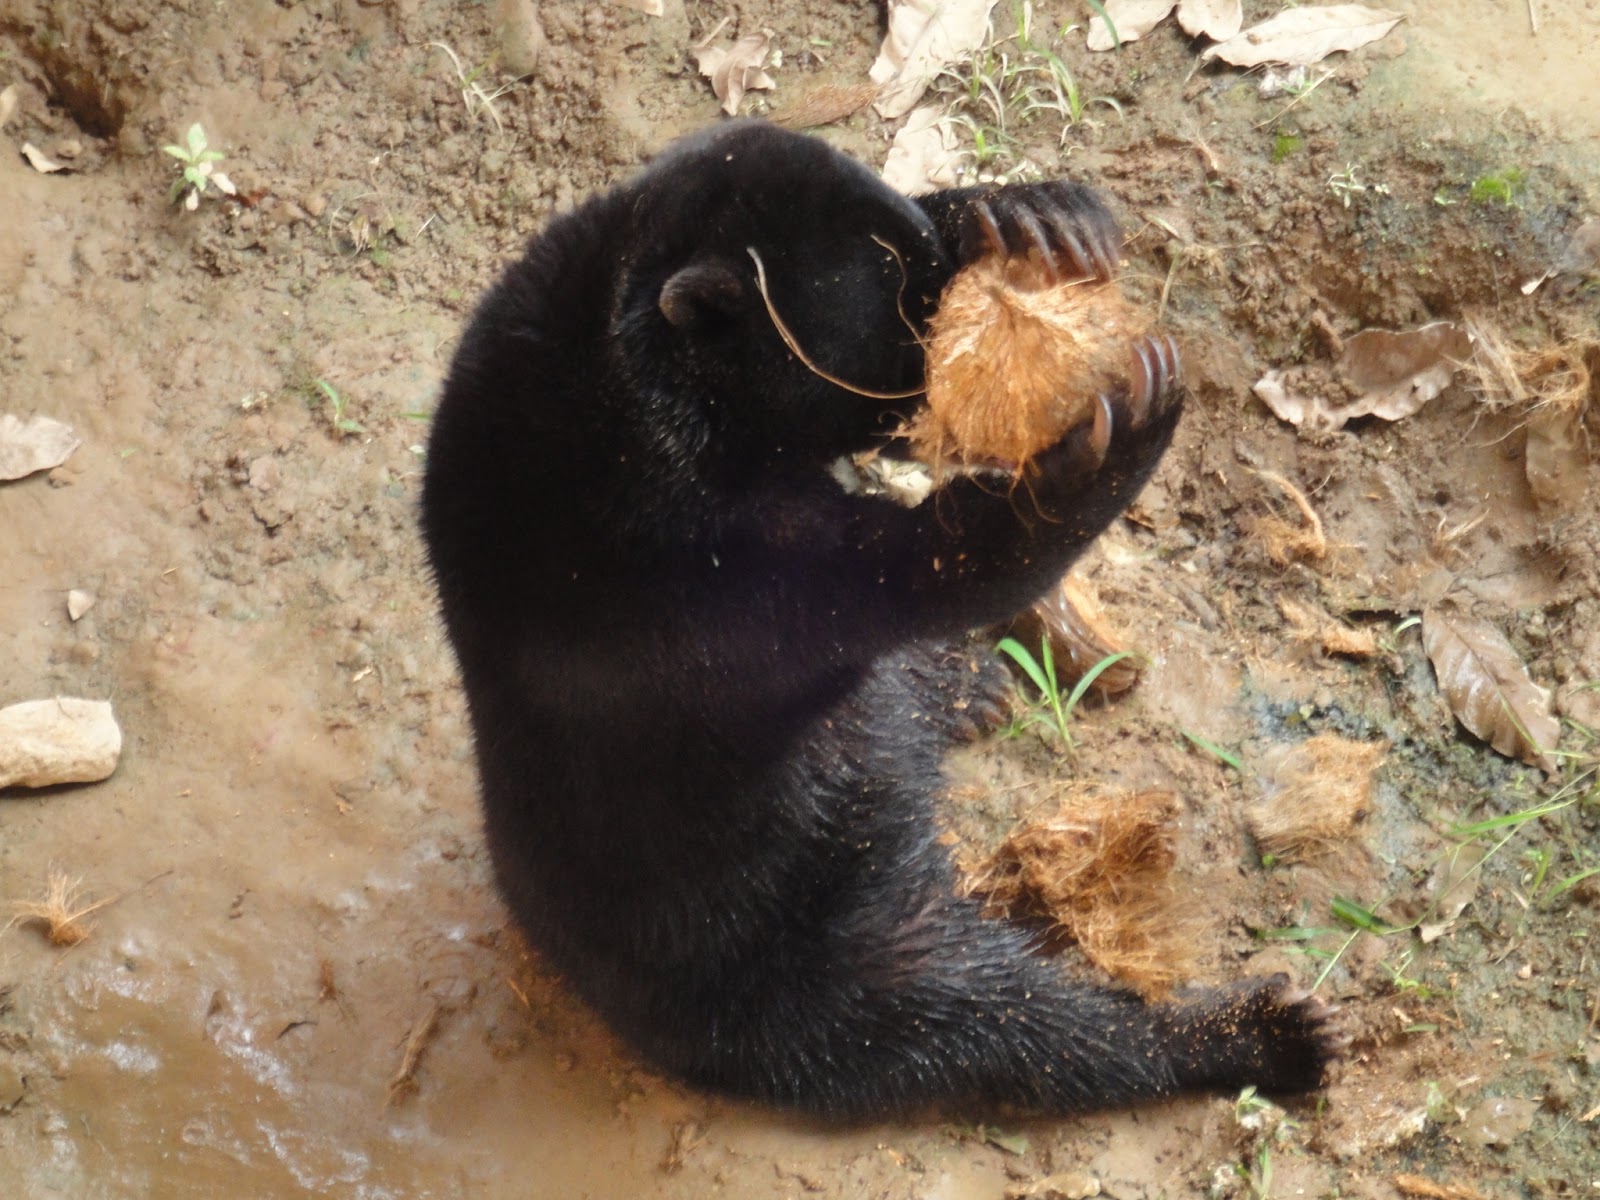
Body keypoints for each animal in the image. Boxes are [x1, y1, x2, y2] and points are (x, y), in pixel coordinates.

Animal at [420, 120, 1337, 1120]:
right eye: (897, 290)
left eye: (921, 255)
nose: (951, 284)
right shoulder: (675, 563)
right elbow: (909, 577)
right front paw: (1114, 426)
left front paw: (1036, 212)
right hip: (807, 968)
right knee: (1022, 1027)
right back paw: (1270, 1031)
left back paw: (971, 688)